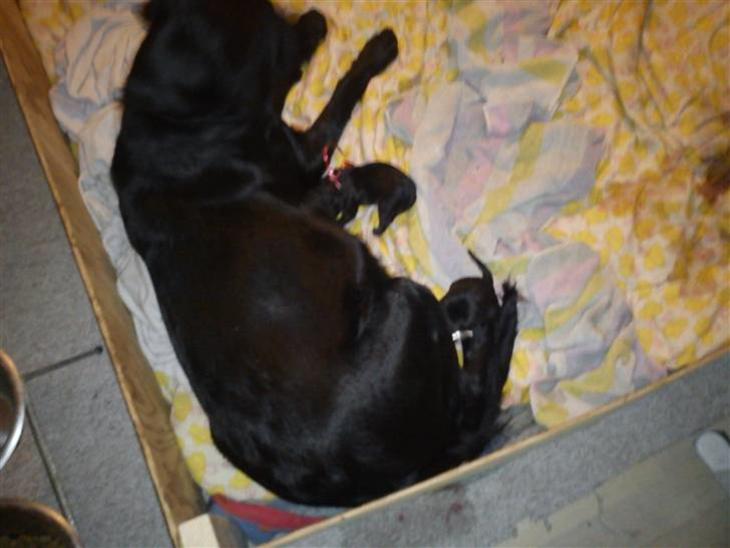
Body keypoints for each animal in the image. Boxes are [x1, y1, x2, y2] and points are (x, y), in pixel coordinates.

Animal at [112, 0, 518, 506]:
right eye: (275, 24)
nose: (317, 18)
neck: (168, 116)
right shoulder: (303, 151)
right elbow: (340, 98)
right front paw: (376, 49)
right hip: (410, 301)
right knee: (471, 387)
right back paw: (485, 329)